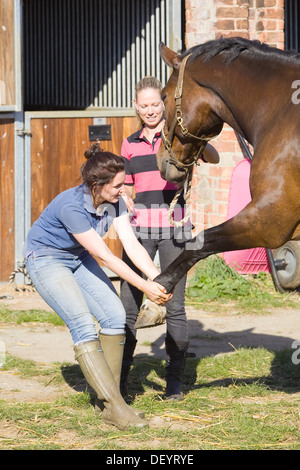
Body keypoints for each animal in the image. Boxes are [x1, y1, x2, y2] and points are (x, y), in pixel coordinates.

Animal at [155, 37, 300, 294]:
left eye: (163, 96)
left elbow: (200, 243)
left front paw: (157, 289)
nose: (161, 160)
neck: (282, 112)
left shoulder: (267, 221)